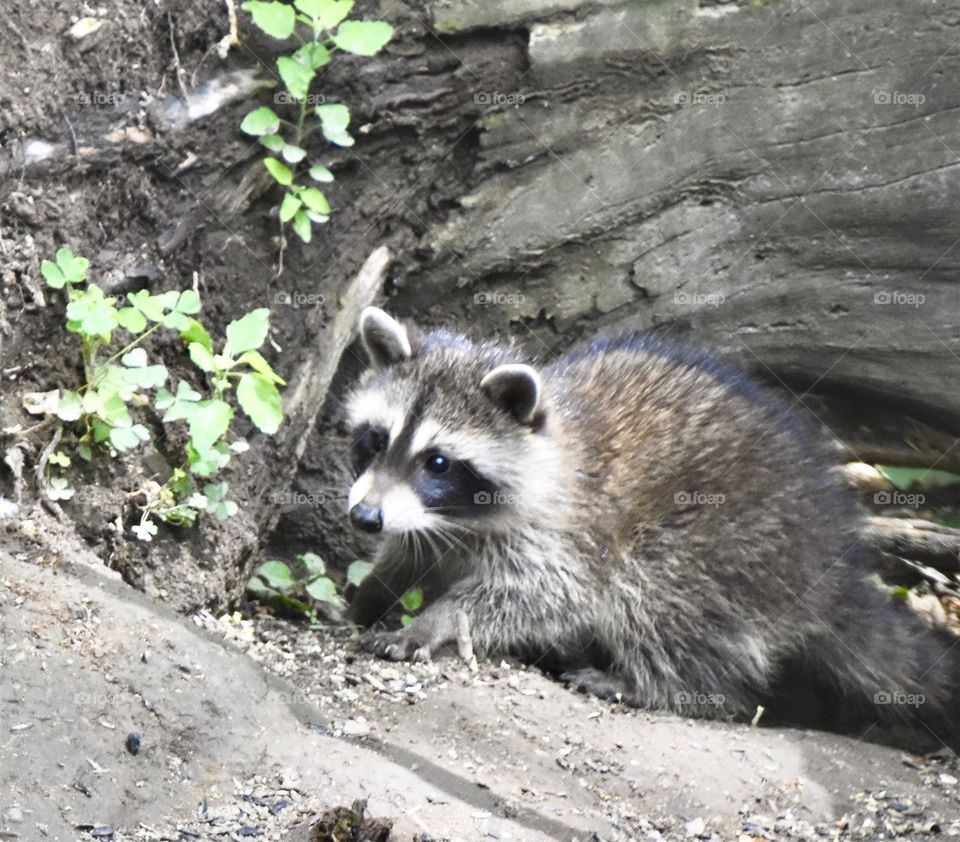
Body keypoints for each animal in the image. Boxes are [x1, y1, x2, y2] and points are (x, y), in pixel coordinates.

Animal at [344, 306, 960, 736]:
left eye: (438, 462)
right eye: (376, 439)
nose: (364, 517)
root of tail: (832, 566)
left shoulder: (568, 532)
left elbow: (548, 596)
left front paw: (439, 619)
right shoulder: (429, 527)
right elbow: (406, 556)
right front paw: (371, 594)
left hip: (730, 544)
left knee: (654, 591)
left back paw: (659, 686)